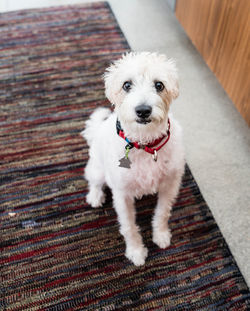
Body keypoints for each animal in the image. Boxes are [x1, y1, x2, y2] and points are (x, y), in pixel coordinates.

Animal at [81, 52, 184, 266]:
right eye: (126, 85)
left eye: (159, 85)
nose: (143, 110)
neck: (145, 145)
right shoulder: (122, 195)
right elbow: (129, 227)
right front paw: (136, 251)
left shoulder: (170, 185)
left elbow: (162, 213)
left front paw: (161, 235)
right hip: (97, 170)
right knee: (93, 181)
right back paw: (95, 196)